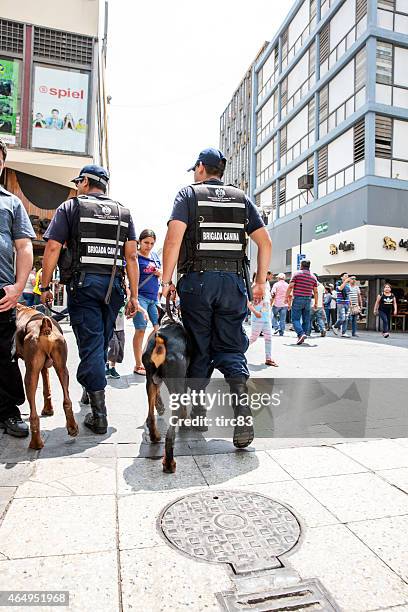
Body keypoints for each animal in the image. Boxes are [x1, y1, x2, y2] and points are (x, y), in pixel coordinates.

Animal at [15, 302, 78, 450]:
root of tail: (45, 327)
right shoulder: (44, 367)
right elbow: (46, 388)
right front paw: (49, 410)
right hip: (62, 367)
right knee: (67, 400)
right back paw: (72, 428)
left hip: (30, 374)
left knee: (33, 414)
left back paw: (36, 443)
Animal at [142, 296, 190, 474]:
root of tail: (161, 338)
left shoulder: (154, 378)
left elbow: (157, 397)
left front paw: (160, 407)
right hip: (176, 385)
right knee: (171, 433)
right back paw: (169, 463)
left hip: (150, 378)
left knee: (150, 416)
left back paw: (155, 436)